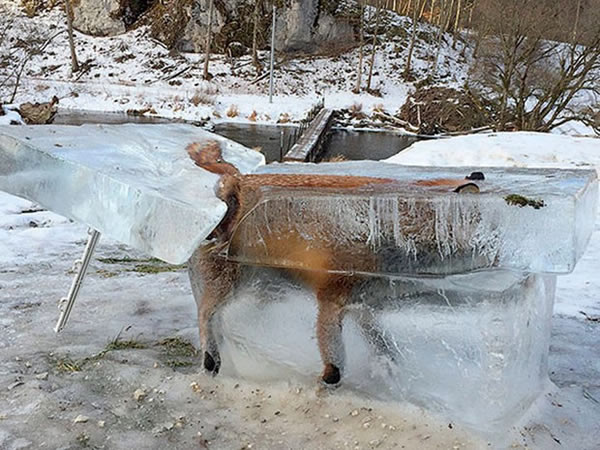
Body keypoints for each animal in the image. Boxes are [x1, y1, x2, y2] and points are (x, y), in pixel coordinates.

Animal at [185, 140, 480, 384]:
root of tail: (236, 180)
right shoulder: (332, 297)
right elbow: (335, 360)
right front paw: (328, 381)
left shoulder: (364, 304)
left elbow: (381, 342)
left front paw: (387, 367)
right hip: (231, 284)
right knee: (206, 314)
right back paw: (211, 359)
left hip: (264, 289)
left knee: (226, 319)